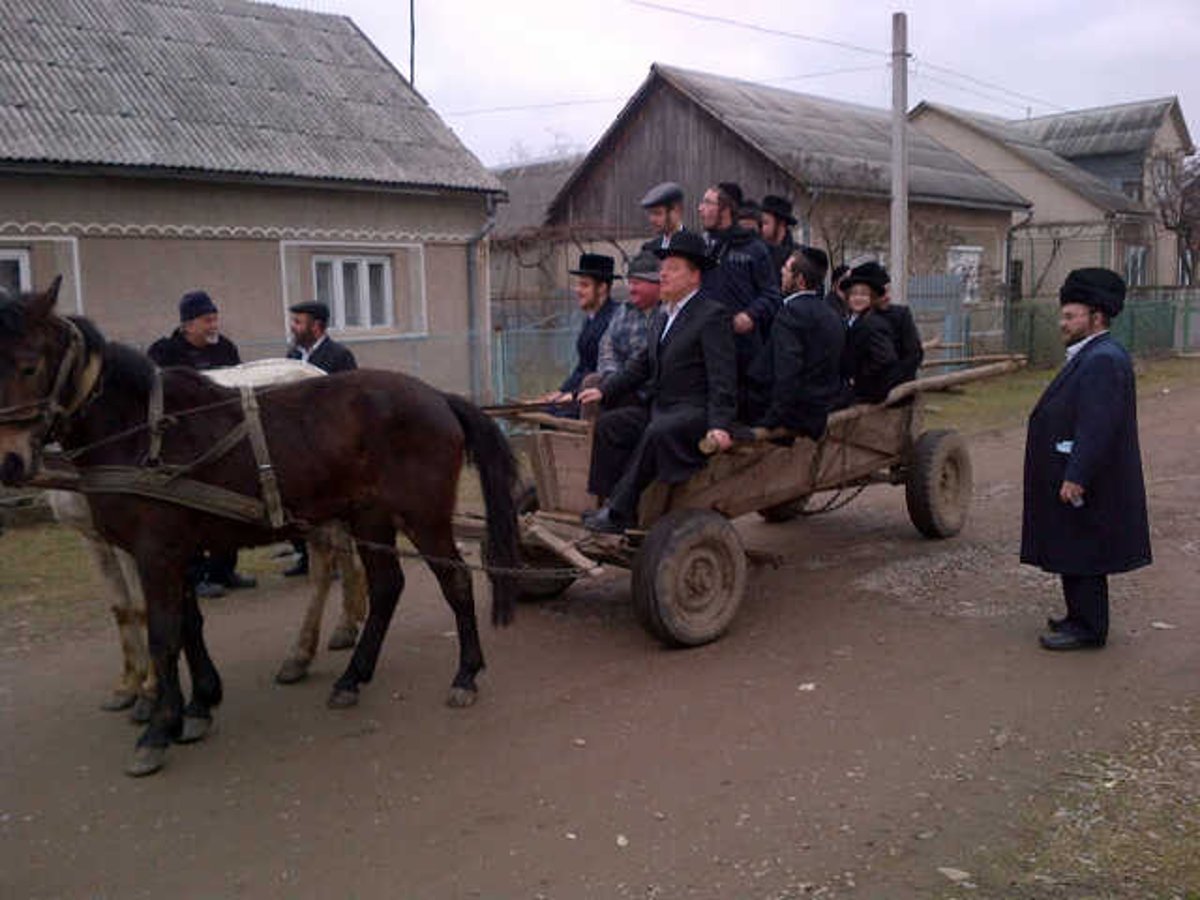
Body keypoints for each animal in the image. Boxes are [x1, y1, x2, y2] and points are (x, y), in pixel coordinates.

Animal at [2, 280, 523, 777]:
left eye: (27, 366)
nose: (10, 462)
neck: (143, 432)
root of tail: (436, 397)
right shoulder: (170, 551)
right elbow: (186, 624)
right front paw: (199, 704)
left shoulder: (153, 553)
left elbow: (164, 634)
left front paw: (158, 727)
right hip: (369, 517)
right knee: (386, 586)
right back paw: (351, 676)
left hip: (422, 516)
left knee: (454, 581)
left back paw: (464, 674)